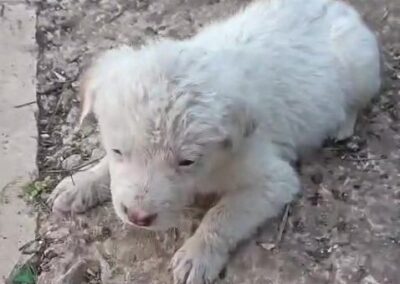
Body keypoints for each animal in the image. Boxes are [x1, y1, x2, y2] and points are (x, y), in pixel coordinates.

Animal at [48, 0, 380, 282]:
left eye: (186, 162)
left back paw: (342, 124)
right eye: (118, 150)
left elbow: (223, 216)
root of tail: (339, 6)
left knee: (358, 101)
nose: (138, 218)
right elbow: (105, 168)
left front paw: (197, 255)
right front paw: (81, 183)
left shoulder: (272, 179)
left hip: (361, 67)